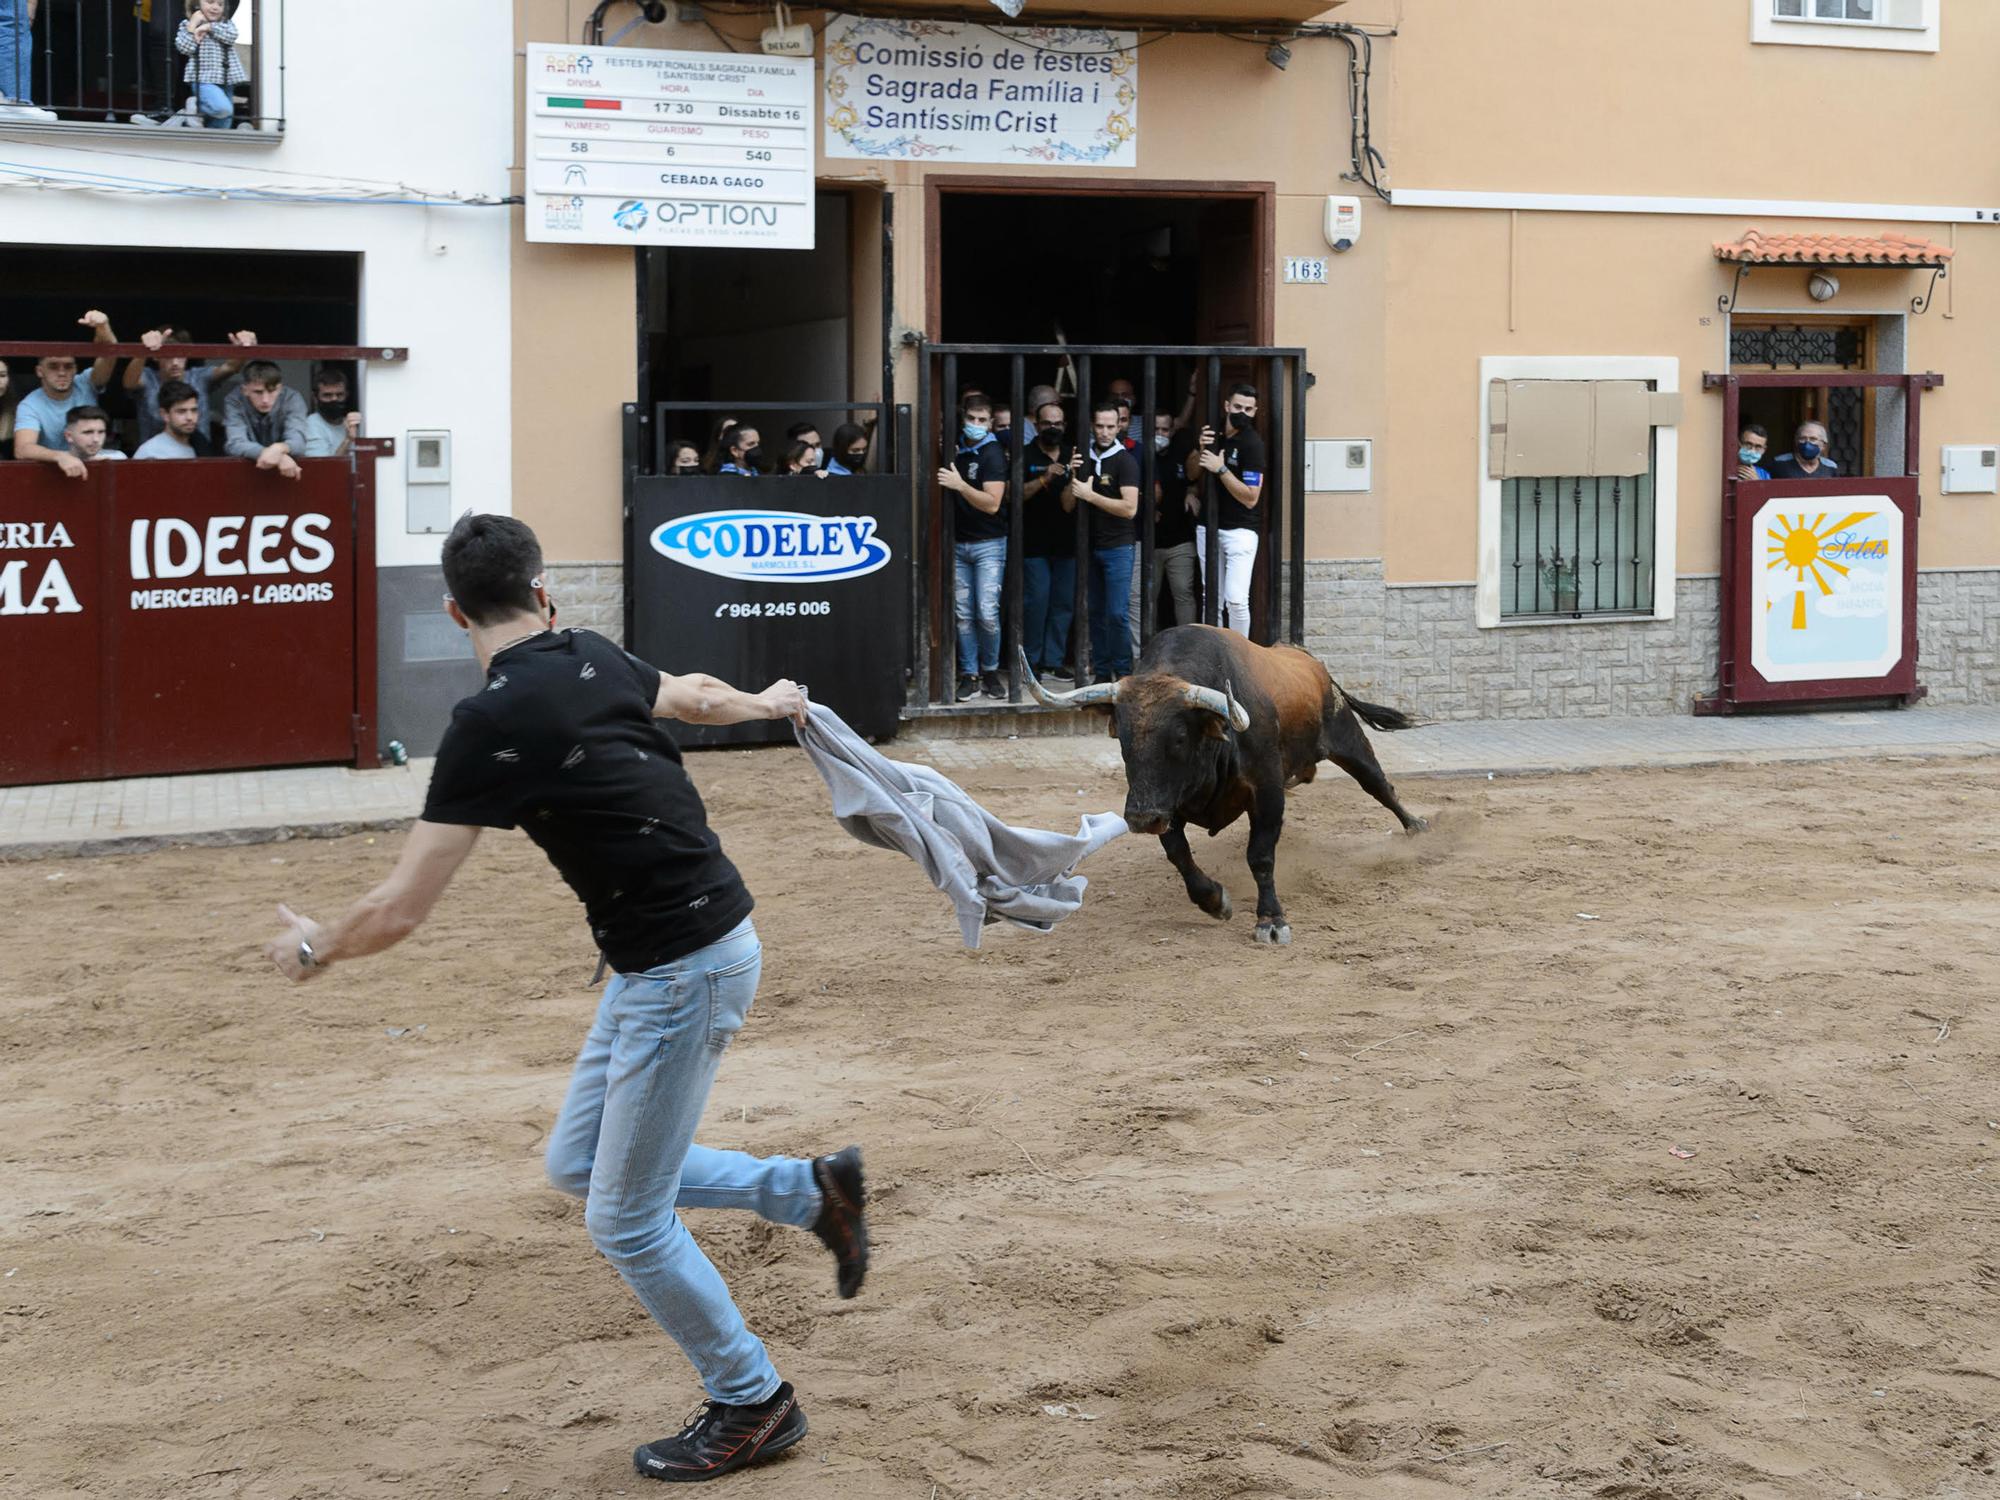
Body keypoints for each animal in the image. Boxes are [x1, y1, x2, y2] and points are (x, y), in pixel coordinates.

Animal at [1032, 628, 1424, 944]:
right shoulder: (1168, 805)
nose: (1141, 819)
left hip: (1349, 739)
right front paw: (1214, 900)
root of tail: (1313, 665)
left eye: (1178, 738)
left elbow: (1261, 856)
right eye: (1122, 738)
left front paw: (1271, 920)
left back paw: (1417, 826)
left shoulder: (1267, 793)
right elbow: (1180, 855)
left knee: (1379, 786)